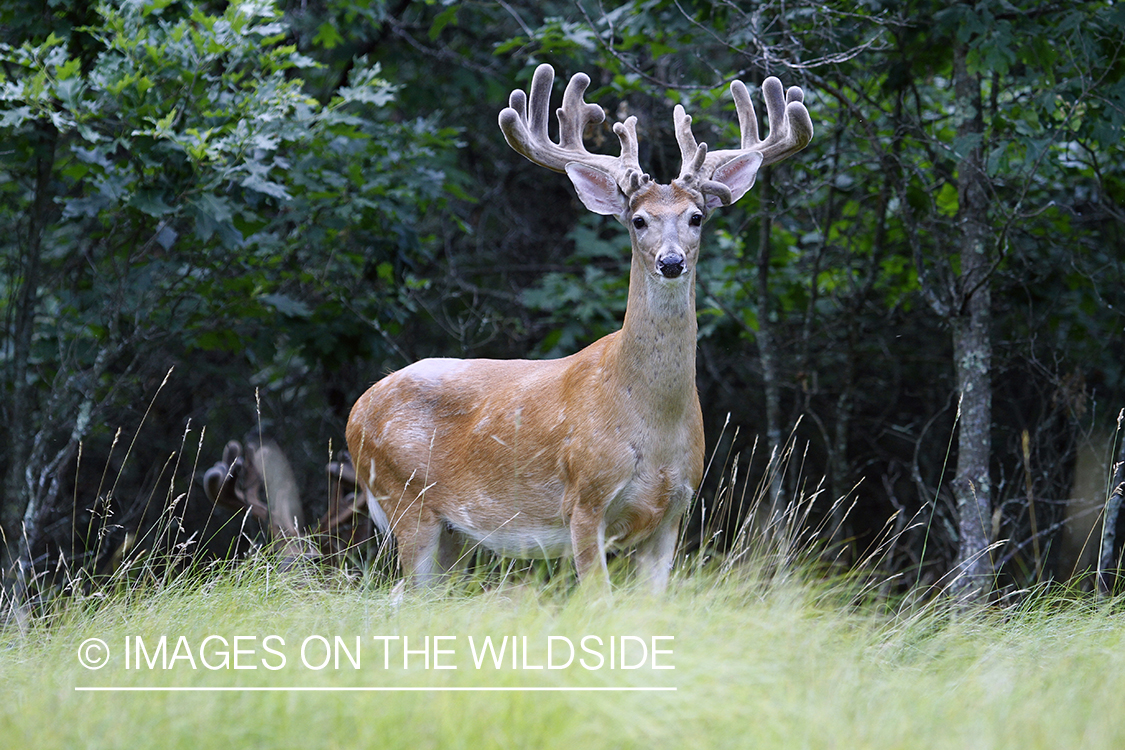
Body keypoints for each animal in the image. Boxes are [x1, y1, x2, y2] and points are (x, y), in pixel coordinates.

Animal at [342, 62, 810, 593]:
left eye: (696, 217)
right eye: (639, 220)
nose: (671, 262)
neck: (651, 420)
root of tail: (357, 409)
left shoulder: (675, 510)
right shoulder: (584, 499)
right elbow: (598, 598)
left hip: (451, 533)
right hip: (405, 499)